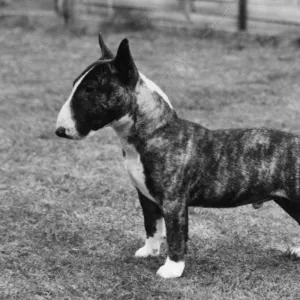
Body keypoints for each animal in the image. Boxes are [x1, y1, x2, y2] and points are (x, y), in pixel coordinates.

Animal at [55, 34, 300, 278]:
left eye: (90, 89)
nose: (59, 131)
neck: (156, 131)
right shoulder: (145, 196)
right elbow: (152, 226)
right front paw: (149, 251)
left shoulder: (174, 201)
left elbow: (175, 234)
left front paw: (172, 269)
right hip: (288, 201)